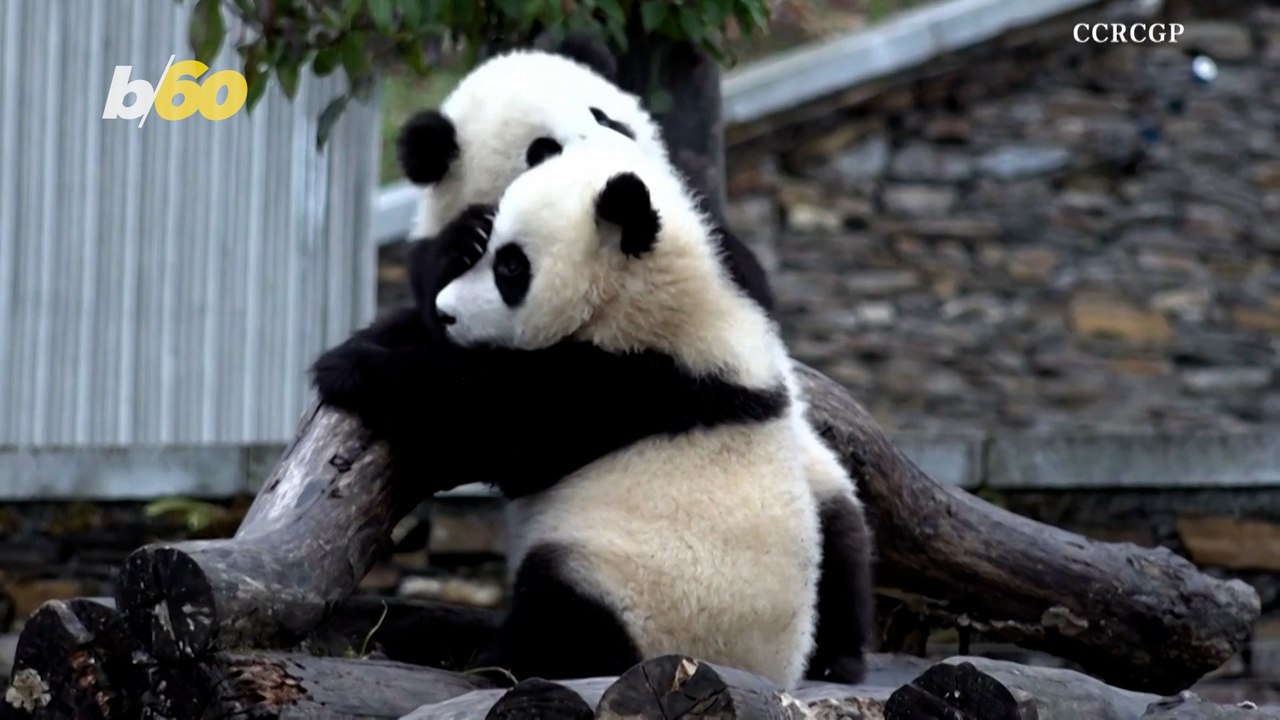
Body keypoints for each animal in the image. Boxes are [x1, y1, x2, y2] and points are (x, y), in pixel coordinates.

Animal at [433, 138, 821, 687]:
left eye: (511, 268)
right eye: (489, 252)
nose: (447, 312)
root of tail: (774, 675)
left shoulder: (632, 385)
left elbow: (503, 430)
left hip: (643, 596)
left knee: (563, 619)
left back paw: (497, 662)